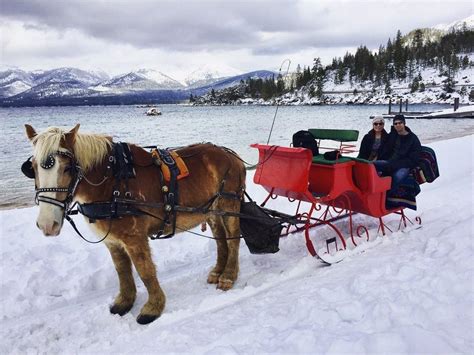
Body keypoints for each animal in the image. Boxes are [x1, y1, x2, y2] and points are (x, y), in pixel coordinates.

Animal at [24, 124, 246, 326]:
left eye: (67, 168)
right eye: (33, 168)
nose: (47, 224)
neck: (111, 182)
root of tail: (232, 155)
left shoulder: (134, 237)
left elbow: (144, 270)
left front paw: (153, 307)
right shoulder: (112, 240)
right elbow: (122, 270)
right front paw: (124, 301)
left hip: (229, 206)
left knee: (233, 239)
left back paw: (228, 275)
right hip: (211, 212)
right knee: (221, 240)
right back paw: (218, 271)